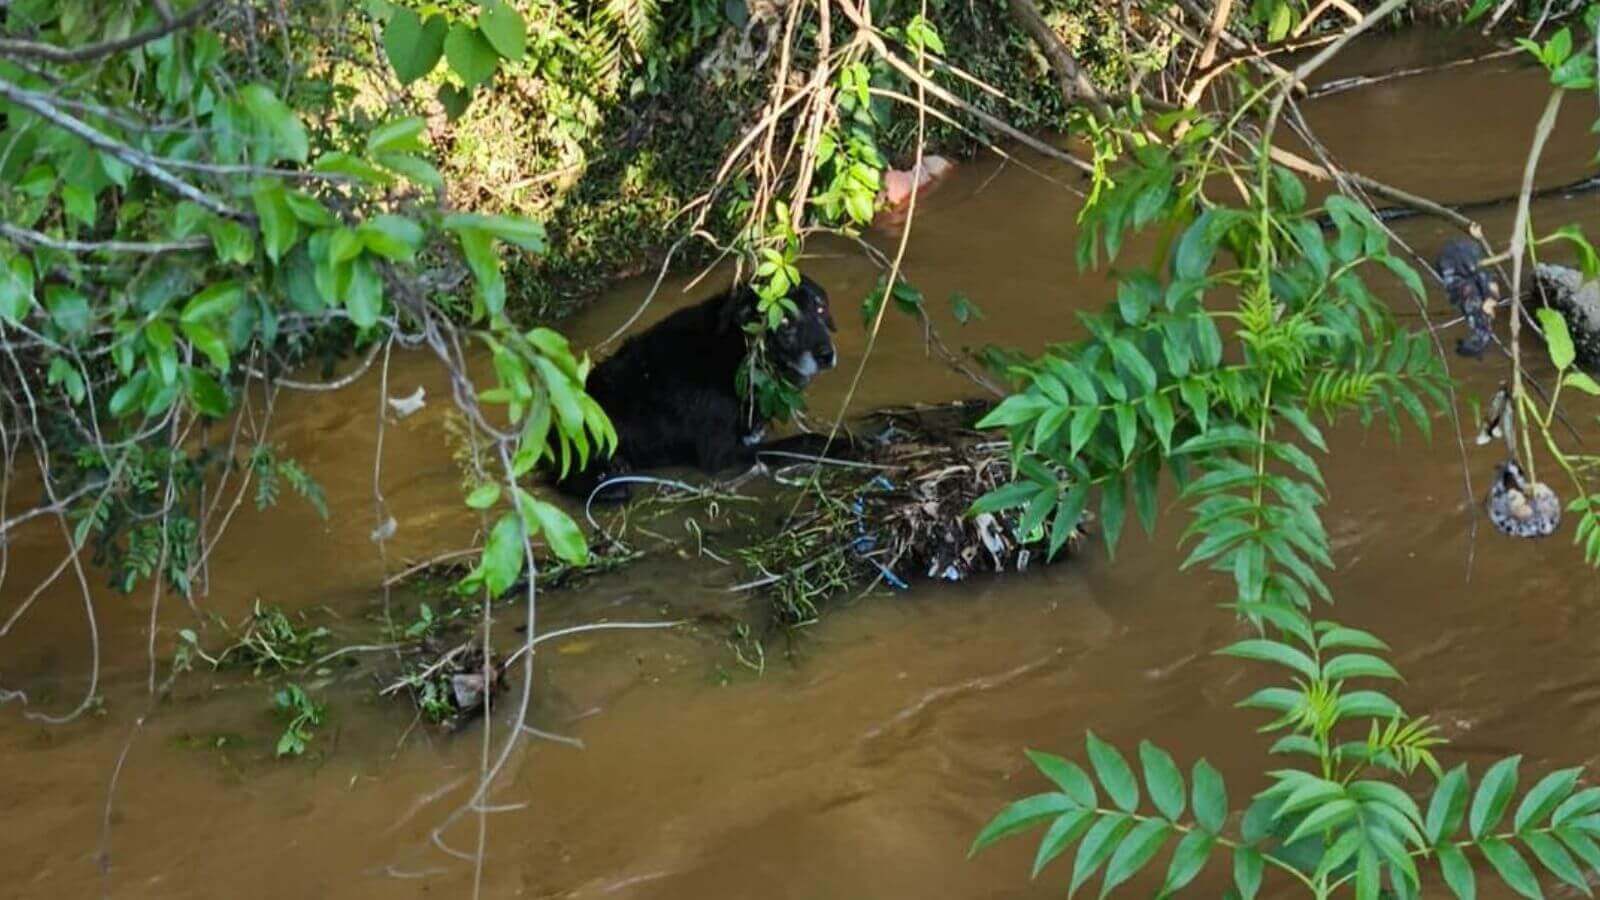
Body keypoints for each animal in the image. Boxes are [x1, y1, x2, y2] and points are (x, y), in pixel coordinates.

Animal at [556, 275, 838, 496]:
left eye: (820, 309)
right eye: (785, 322)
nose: (826, 355)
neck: (735, 350)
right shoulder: (722, 454)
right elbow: (806, 440)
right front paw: (844, 447)